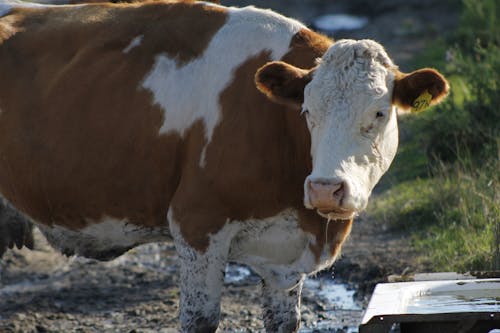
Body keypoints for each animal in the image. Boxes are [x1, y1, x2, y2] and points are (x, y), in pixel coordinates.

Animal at [0, 1, 450, 330]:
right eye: (307, 111)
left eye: (379, 113)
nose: (325, 188)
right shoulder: (196, 223)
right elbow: (199, 320)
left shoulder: (285, 257)